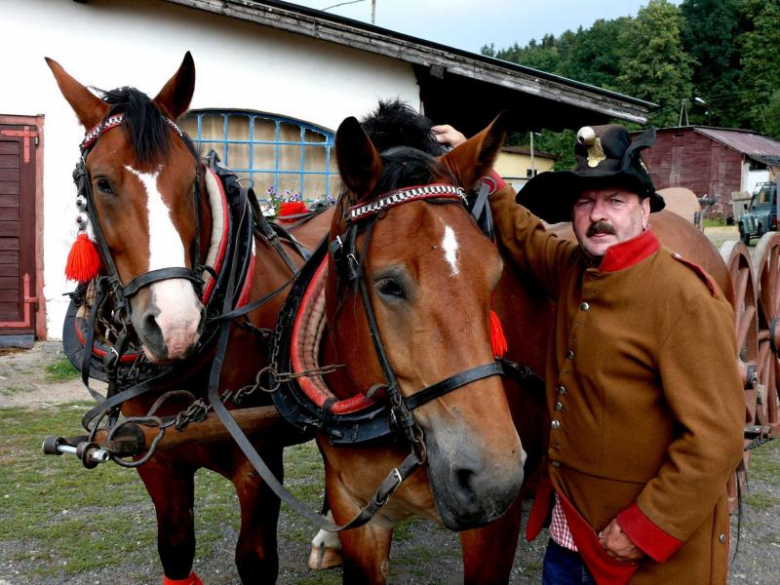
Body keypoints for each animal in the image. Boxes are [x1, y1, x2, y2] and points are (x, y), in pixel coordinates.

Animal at [45, 52, 332, 580]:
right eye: (101, 182)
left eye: (191, 180)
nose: (175, 326)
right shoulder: (155, 459)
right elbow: (176, 550)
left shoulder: (258, 459)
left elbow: (255, 560)